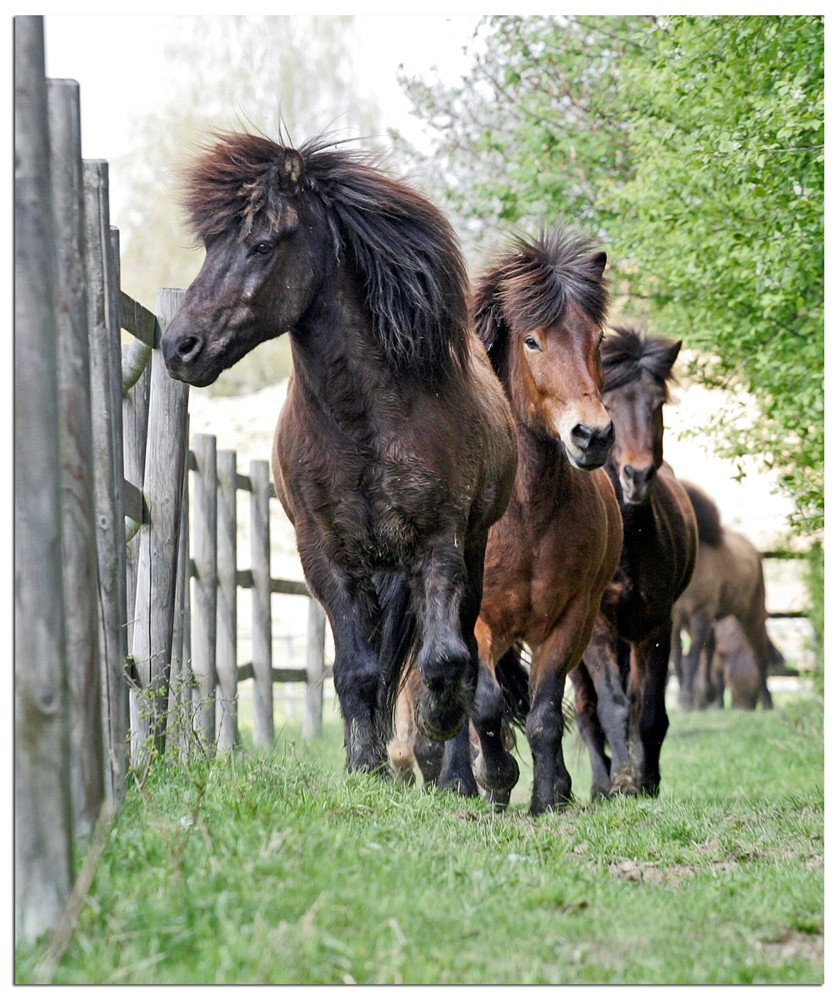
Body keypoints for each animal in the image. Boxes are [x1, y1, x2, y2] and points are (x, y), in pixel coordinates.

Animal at [162, 133, 520, 772]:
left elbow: (443, 659)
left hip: (470, 550)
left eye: (261, 244)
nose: (180, 346)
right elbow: (358, 672)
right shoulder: (325, 555)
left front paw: (437, 722)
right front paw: (365, 765)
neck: (361, 425)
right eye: (210, 247)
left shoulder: (440, 544)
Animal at [572, 324, 704, 800]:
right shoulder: (597, 632)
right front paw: (622, 781)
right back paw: (599, 783)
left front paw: (646, 780)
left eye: (658, 403)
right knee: (587, 710)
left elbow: (646, 710)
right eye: (608, 402)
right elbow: (608, 708)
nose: (638, 476)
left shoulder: (656, 625)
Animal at [672, 478, 776, 708]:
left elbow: (692, 655)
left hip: (752, 615)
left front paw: (686, 700)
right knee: (711, 648)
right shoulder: (674, 618)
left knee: (759, 654)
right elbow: (677, 657)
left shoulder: (701, 612)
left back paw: (767, 702)